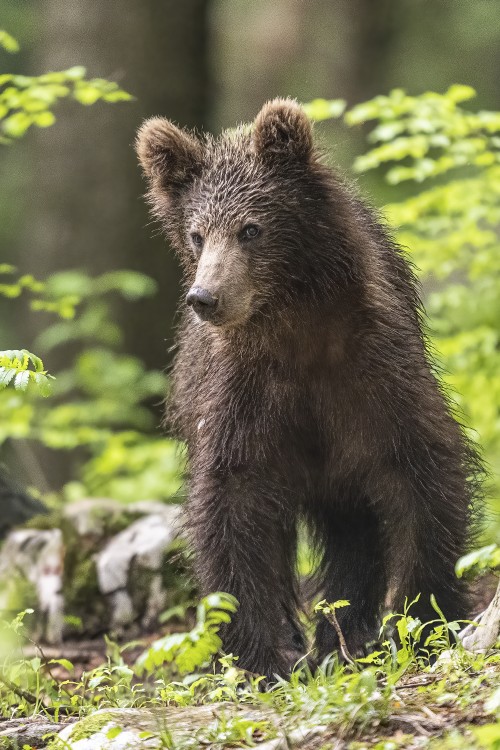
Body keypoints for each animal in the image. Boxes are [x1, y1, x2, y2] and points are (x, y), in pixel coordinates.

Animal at [135, 100, 482, 680]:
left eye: (251, 228)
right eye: (197, 234)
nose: (205, 297)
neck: (298, 335)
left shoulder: (372, 378)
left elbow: (422, 476)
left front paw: (416, 620)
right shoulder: (244, 397)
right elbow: (232, 502)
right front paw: (263, 652)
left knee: (355, 533)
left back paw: (346, 639)